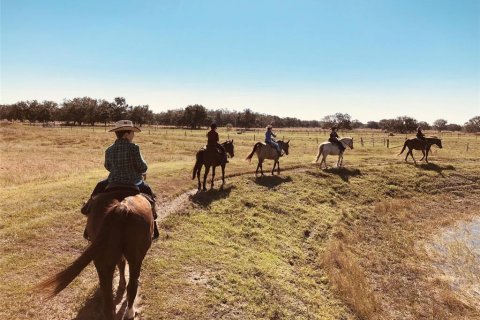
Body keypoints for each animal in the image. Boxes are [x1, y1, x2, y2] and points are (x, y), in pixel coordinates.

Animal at [34, 190, 154, 320]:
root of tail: (122, 207)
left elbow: (121, 265)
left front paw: (121, 284)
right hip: (135, 259)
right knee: (132, 284)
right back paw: (130, 312)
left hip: (103, 259)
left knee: (107, 291)